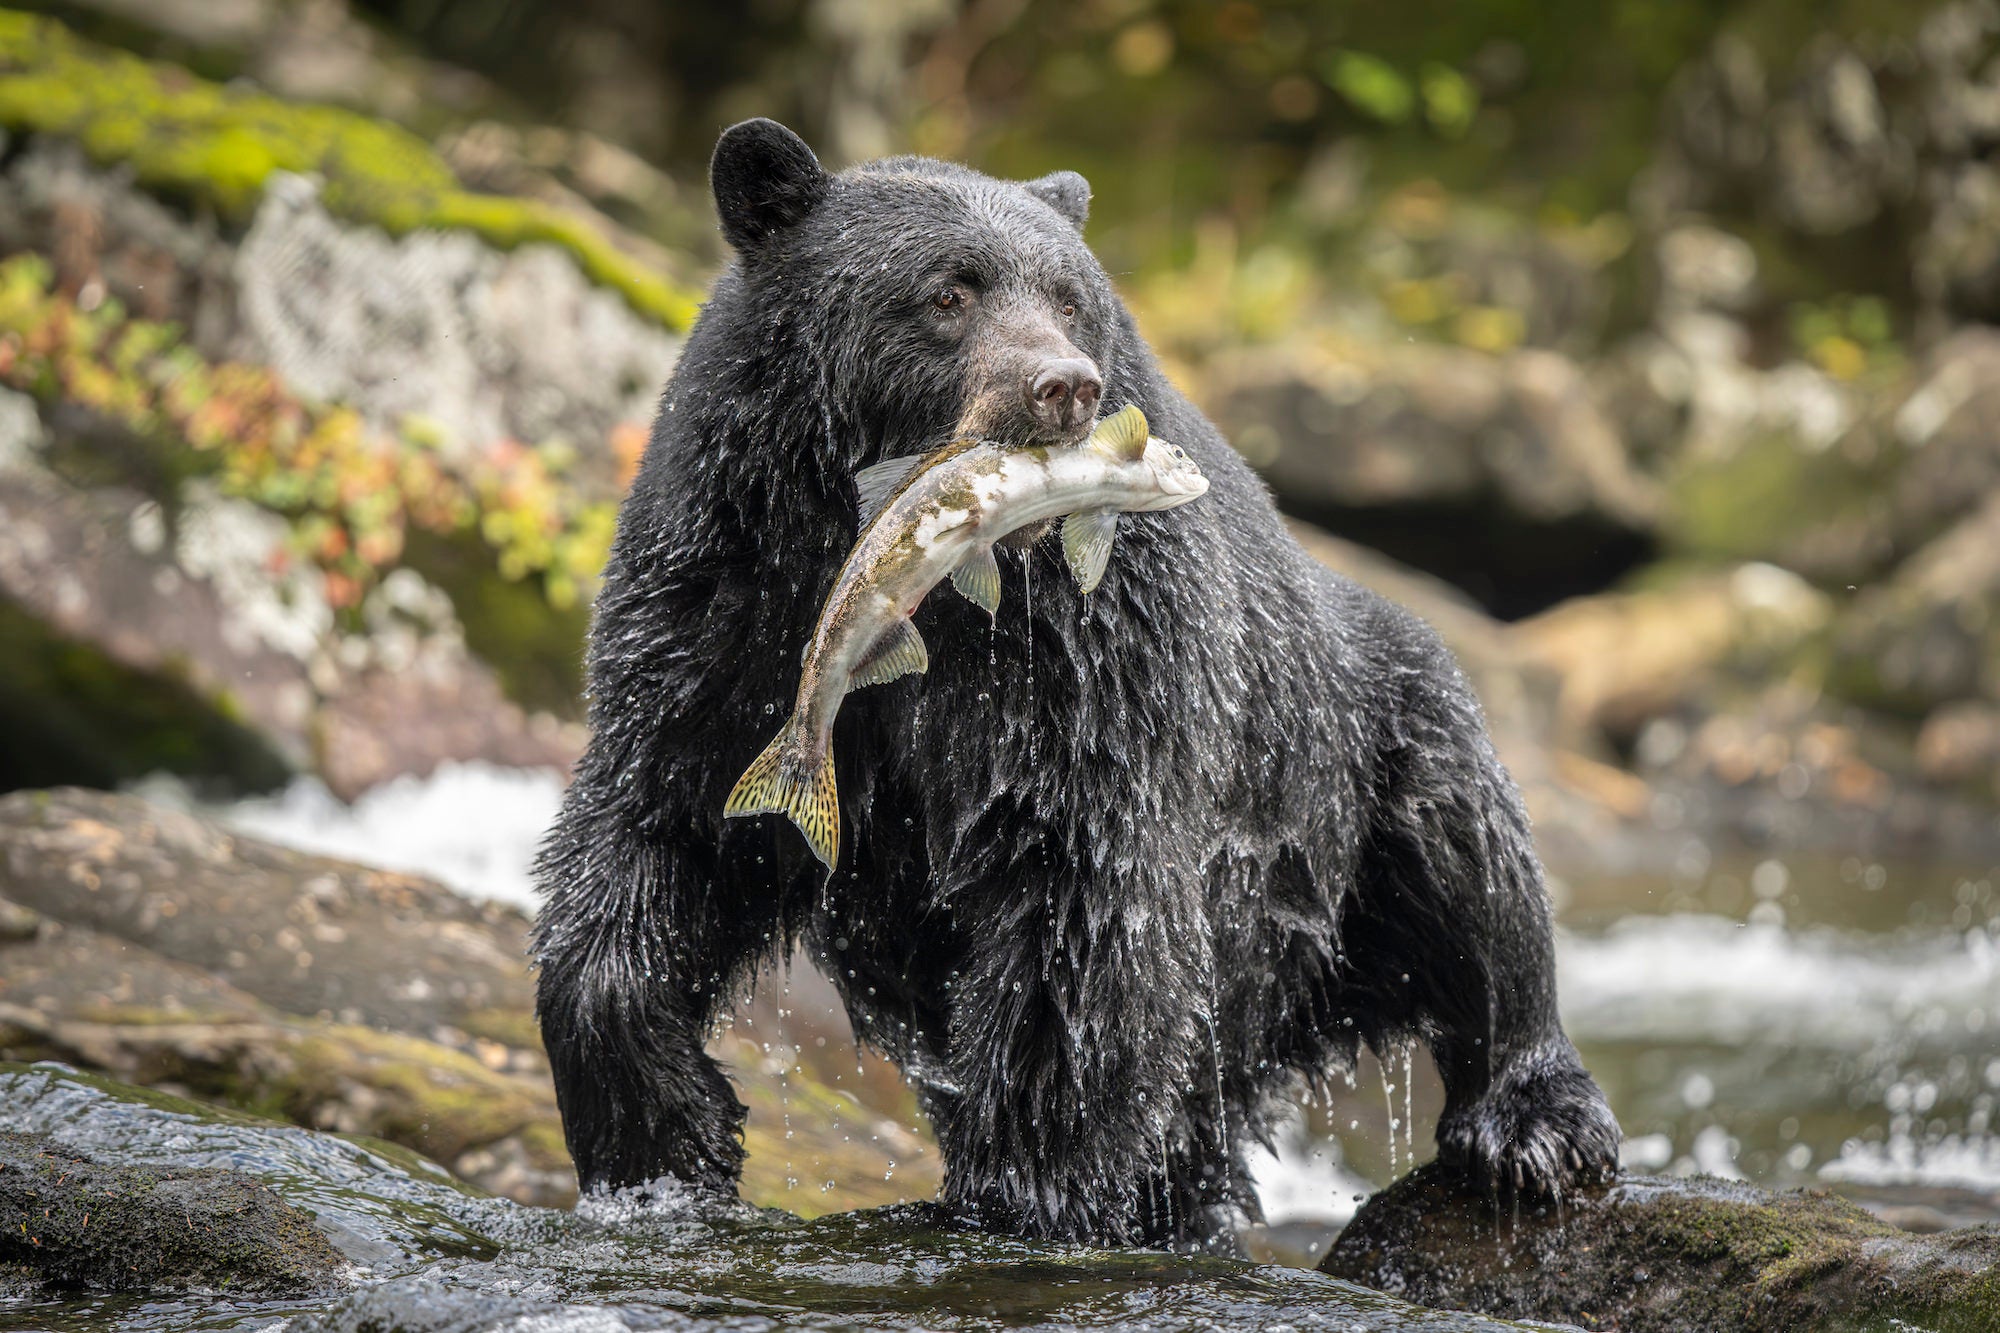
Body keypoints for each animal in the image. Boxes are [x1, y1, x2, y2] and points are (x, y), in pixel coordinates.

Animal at [531, 117, 1621, 1247]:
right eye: (947, 292)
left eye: (1069, 298)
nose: (1063, 387)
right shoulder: (727, 606)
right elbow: (655, 837)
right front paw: (667, 1137)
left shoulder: (1092, 652)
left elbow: (1080, 892)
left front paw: (1023, 1192)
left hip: (1356, 750)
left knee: (1473, 876)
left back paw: (1532, 1121)